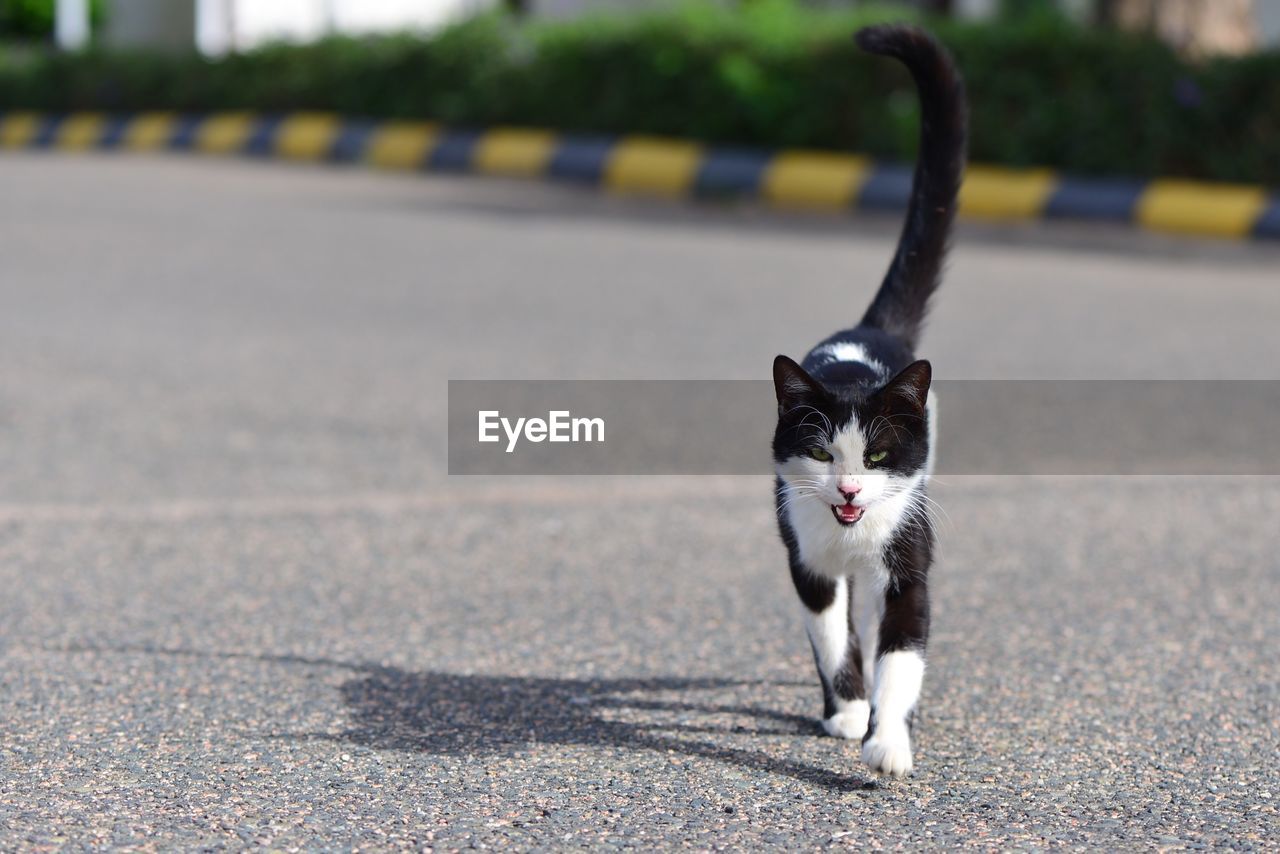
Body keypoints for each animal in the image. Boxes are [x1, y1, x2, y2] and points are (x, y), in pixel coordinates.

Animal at [762, 25, 962, 783]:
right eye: (822, 449)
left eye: (876, 453)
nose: (849, 488)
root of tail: (867, 329)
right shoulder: (809, 561)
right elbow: (829, 633)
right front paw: (848, 710)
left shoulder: (910, 561)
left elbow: (901, 654)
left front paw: (888, 742)